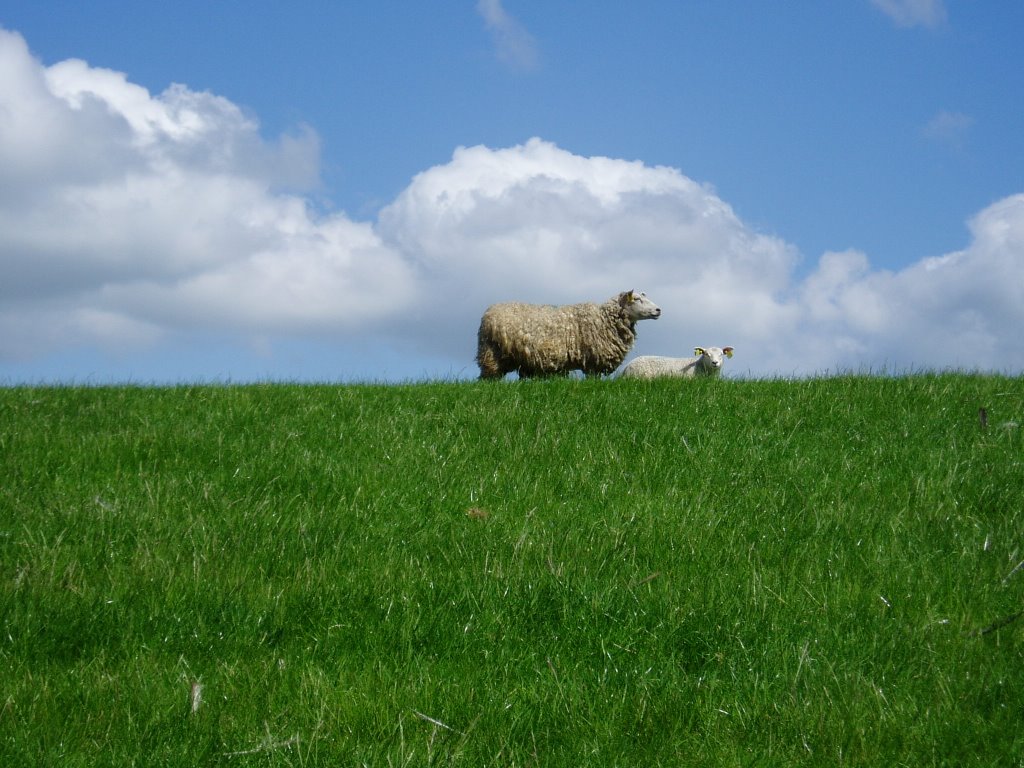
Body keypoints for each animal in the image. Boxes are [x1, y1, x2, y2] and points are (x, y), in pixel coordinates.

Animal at [475, 290, 659, 380]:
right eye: (637, 299)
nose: (658, 310)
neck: (604, 319)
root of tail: (488, 312)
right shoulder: (592, 361)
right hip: (491, 354)